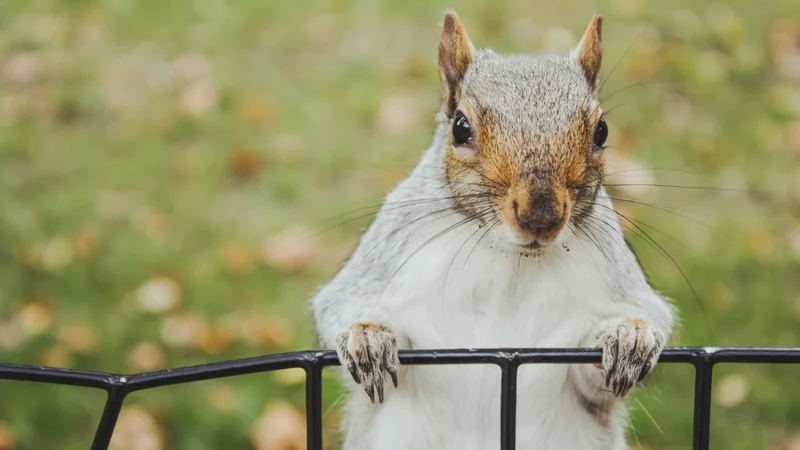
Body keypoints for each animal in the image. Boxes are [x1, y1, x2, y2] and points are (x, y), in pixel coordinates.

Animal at [311, 10, 676, 450]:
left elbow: (601, 368)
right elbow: (341, 305)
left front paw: (629, 338)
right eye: (460, 127)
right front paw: (367, 338)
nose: (540, 216)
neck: (509, 260)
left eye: (601, 130)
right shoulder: (388, 259)